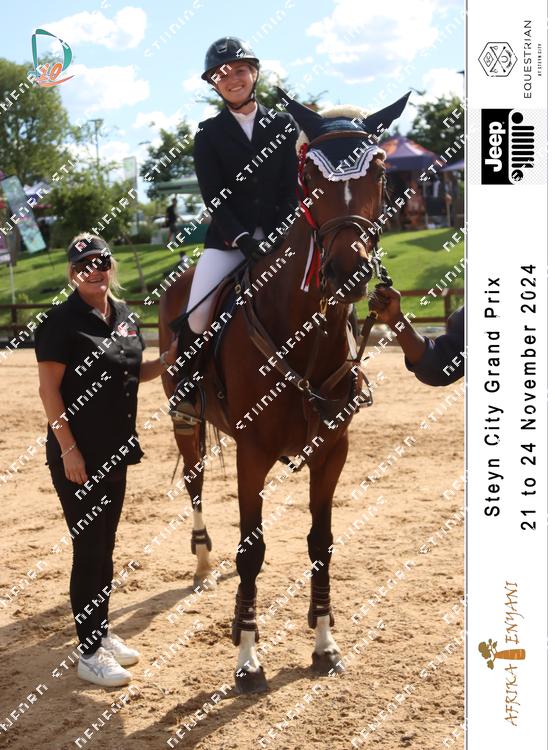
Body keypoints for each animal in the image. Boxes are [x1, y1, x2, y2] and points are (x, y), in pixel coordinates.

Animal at [158, 88, 410, 694]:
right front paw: (247, 657)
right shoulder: (252, 452)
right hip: (185, 419)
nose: (347, 270)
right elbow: (252, 552)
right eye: (309, 175)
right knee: (196, 484)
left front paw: (324, 642)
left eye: (381, 170)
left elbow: (320, 543)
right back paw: (202, 565)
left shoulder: (332, 450)